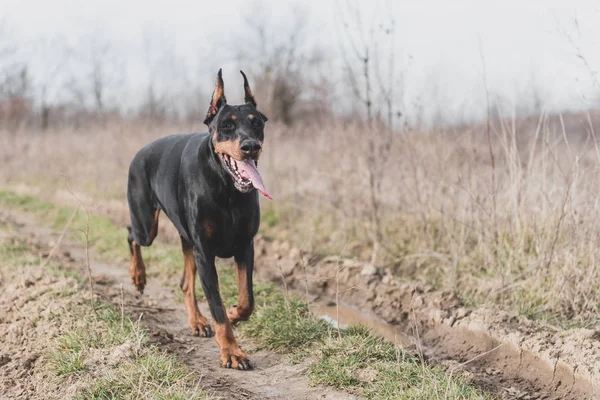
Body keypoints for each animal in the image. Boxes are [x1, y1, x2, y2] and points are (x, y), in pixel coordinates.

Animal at [127, 68, 270, 368]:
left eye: (257, 124)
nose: (250, 147)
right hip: (147, 225)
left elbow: (247, 300)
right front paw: (231, 351)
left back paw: (197, 321)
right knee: (131, 234)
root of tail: (140, 151)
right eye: (227, 125)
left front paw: (235, 313)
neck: (227, 188)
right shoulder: (205, 252)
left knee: (184, 283)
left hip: (186, 239)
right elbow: (217, 307)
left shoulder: (245, 246)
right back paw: (138, 276)